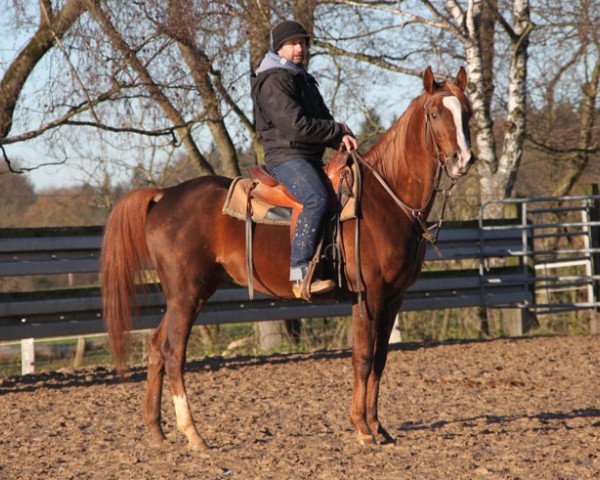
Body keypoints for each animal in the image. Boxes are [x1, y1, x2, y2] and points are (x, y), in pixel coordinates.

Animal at [99, 65, 474, 448]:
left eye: (467, 112)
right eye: (434, 114)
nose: (463, 160)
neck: (385, 200)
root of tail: (164, 195)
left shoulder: (394, 296)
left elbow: (381, 359)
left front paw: (378, 427)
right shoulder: (368, 294)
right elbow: (364, 357)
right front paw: (363, 429)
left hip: (190, 293)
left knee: (157, 347)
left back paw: (157, 430)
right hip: (185, 294)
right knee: (174, 353)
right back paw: (193, 434)